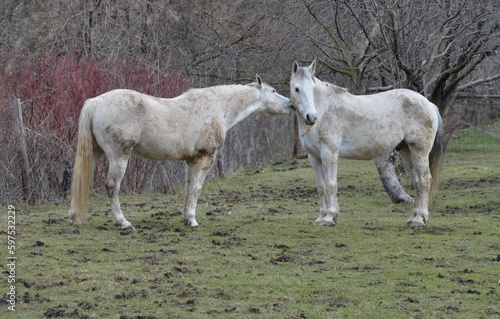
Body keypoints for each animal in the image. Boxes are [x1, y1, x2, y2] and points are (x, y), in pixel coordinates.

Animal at [67, 76, 292, 231]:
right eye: (273, 91)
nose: (290, 104)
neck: (217, 107)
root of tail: (95, 102)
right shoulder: (206, 158)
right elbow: (197, 188)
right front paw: (192, 220)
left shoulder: (191, 161)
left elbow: (189, 187)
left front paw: (186, 217)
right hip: (119, 155)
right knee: (112, 186)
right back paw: (123, 222)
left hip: (95, 153)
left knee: (80, 180)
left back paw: (75, 218)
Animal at [292, 60, 444, 229]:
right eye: (296, 88)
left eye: (313, 89)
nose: (311, 117)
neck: (324, 109)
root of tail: (429, 103)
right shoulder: (314, 157)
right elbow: (321, 187)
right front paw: (321, 218)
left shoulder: (329, 154)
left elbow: (330, 184)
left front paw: (329, 217)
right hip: (407, 151)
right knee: (417, 182)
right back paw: (414, 218)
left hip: (420, 151)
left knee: (424, 180)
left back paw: (419, 220)